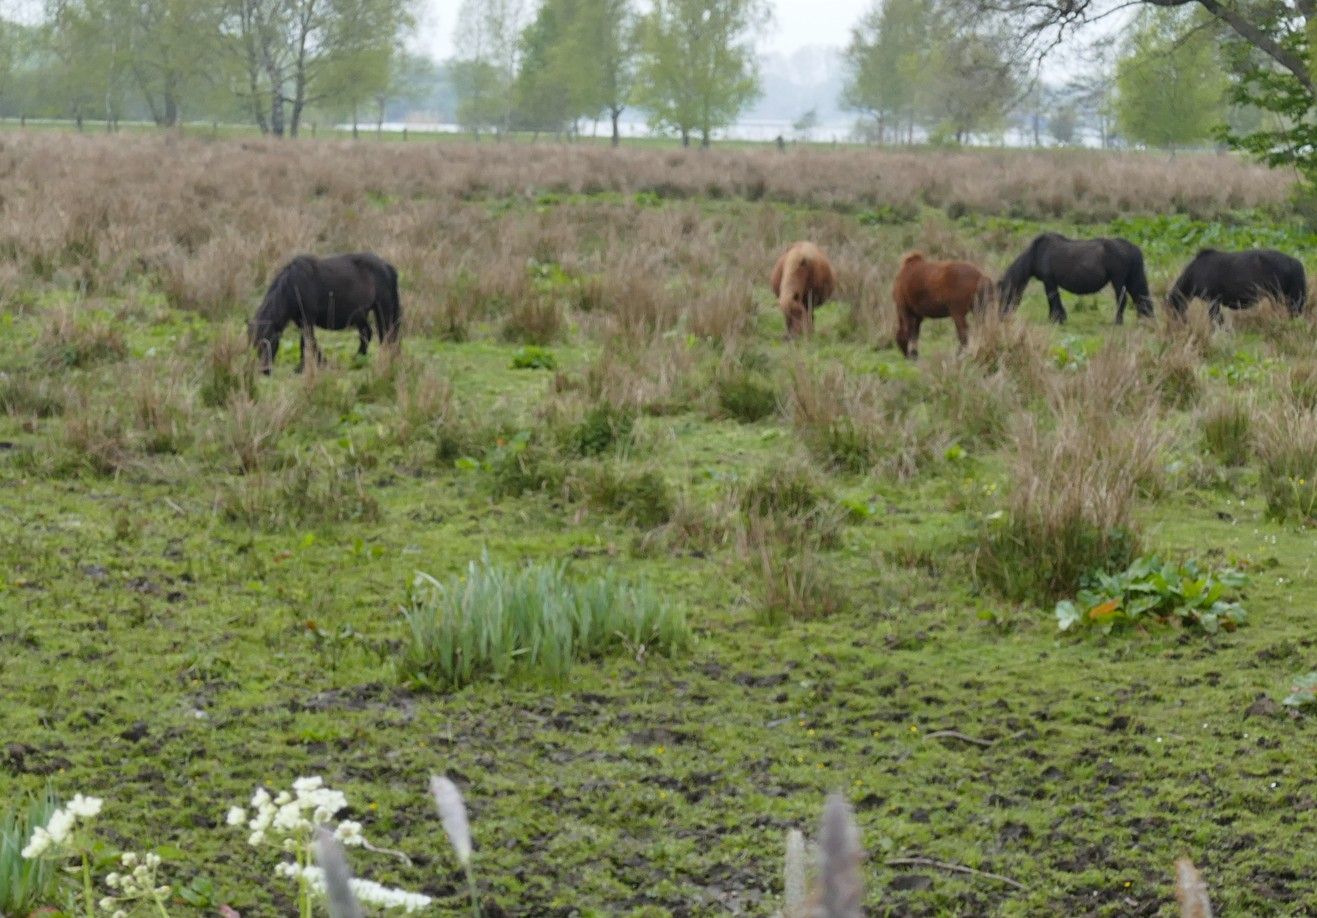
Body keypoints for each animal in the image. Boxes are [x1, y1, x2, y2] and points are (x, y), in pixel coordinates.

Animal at [248, 253, 402, 374]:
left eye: (270, 340)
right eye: (255, 344)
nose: (264, 370)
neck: (293, 285)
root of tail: (387, 266)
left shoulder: (307, 319)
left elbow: (305, 342)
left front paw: (301, 368)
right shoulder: (300, 321)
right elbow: (311, 342)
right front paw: (321, 361)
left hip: (382, 309)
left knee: (387, 334)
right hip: (359, 314)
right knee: (367, 333)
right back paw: (358, 360)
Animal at [998, 232, 1154, 325]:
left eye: (1004, 296)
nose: (1001, 316)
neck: (1036, 253)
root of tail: (1131, 247)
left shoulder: (1049, 282)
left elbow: (1052, 299)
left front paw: (1056, 319)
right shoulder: (1051, 282)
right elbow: (1054, 300)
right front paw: (1058, 318)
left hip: (1118, 280)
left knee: (1123, 299)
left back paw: (1117, 322)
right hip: (1131, 280)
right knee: (1140, 298)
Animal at [1167, 248, 1307, 323]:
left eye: (1173, 308)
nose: (1179, 323)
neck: (1194, 272)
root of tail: (1295, 263)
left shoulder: (1213, 301)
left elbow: (1216, 319)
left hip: (1281, 297)